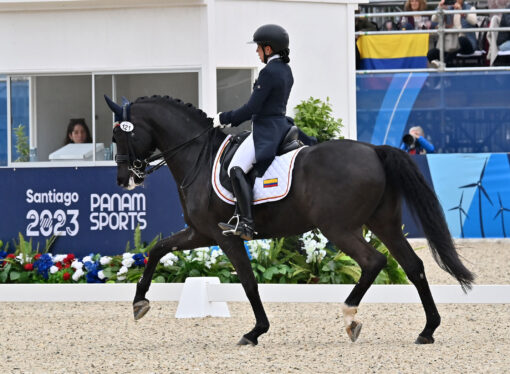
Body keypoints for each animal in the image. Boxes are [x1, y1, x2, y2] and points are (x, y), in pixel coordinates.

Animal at [105, 95, 476, 344]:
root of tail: (373, 150)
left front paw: (255, 332)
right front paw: (139, 302)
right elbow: (157, 250)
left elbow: (248, 281)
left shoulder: (225, 236)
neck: (198, 155)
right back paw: (427, 330)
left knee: (374, 261)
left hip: (339, 228)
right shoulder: (200, 233)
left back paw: (350, 316)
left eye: (120, 136)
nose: (124, 180)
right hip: (383, 224)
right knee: (413, 266)